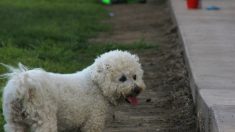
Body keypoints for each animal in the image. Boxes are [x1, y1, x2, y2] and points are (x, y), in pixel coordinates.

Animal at [1, 50, 145, 131]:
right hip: (44, 121)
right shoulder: (92, 123)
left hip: (15, 123)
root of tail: (22, 84)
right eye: (122, 78)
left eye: (135, 76)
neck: (96, 85)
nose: (137, 90)